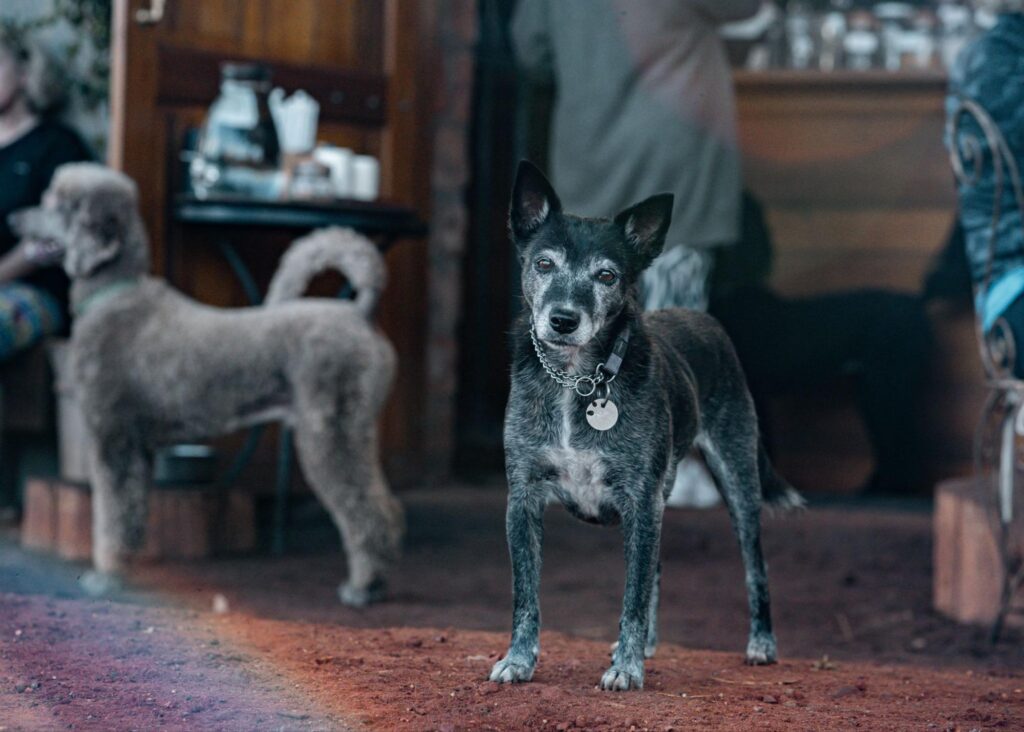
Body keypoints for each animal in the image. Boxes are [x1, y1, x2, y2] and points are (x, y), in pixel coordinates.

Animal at [12, 164, 405, 606]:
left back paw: (364, 586)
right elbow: (130, 513)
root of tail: (360, 313)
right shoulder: (140, 447)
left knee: (367, 512)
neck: (114, 295)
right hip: (354, 428)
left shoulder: (114, 436)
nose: (13, 219)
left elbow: (111, 514)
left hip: (330, 430)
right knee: (386, 507)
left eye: (55, 204)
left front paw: (105, 575)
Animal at [491, 161, 802, 692]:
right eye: (544, 264)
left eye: (607, 275)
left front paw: (626, 668)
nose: (563, 319)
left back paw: (761, 644)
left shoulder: (640, 500)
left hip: (737, 478)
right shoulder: (525, 499)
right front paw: (519, 660)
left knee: (753, 565)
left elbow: (632, 595)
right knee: (655, 569)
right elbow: (525, 595)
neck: (577, 381)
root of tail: (703, 316)